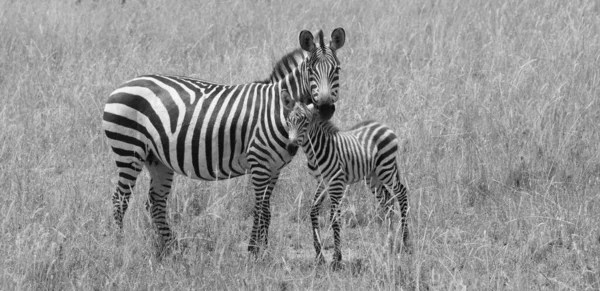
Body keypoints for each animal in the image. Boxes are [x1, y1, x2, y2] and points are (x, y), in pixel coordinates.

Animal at [103, 28, 346, 256]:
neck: (277, 108)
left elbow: (267, 210)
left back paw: (170, 249)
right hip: (128, 150)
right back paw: (120, 246)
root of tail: (122, 86)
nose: (325, 109)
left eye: (337, 70)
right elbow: (258, 208)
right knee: (119, 200)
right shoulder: (259, 162)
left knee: (156, 202)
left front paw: (264, 251)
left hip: (157, 159)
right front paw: (253, 251)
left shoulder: (275, 168)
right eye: (311, 70)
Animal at [284, 92, 410, 266]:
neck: (316, 150)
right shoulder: (322, 182)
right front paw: (319, 255)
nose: (290, 147)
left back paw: (405, 243)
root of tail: (384, 126)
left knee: (401, 193)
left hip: (386, 168)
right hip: (373, 177)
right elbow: (313, 211)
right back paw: (388, 245)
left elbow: (335, 218)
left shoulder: (337, 182)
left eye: (306, 122)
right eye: (288, 121)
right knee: (388, 202)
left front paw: (336, 258)